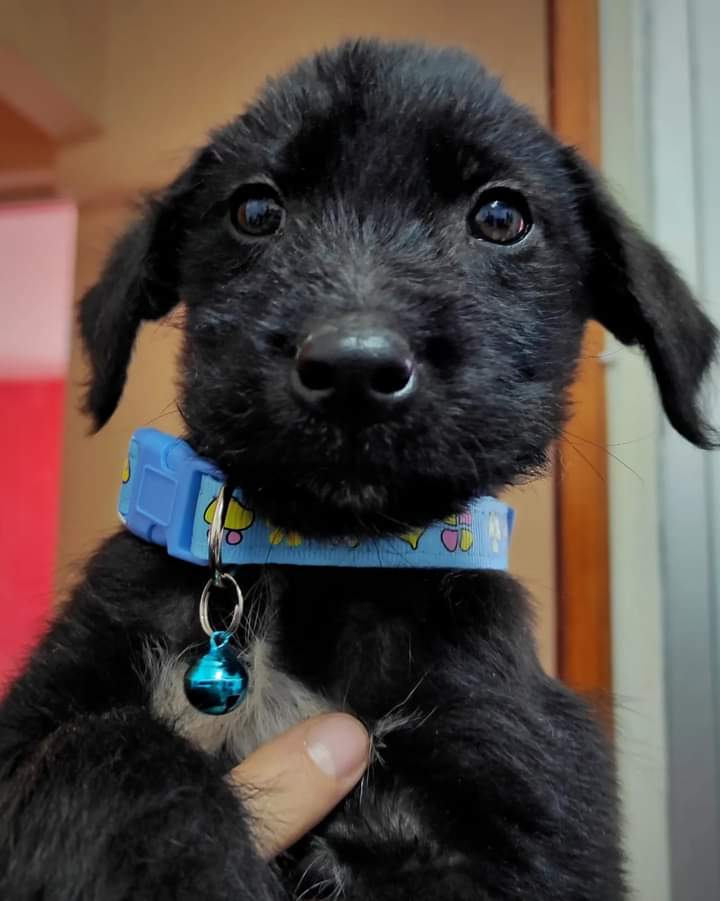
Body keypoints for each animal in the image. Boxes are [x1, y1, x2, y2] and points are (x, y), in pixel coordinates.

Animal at [0, 40, 716, 900]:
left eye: (501, 216)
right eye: (255, 209)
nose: (352, 368)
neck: (321, 565)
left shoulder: (524, 804)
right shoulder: (40, 716)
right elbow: (109, 751)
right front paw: (183, 866)